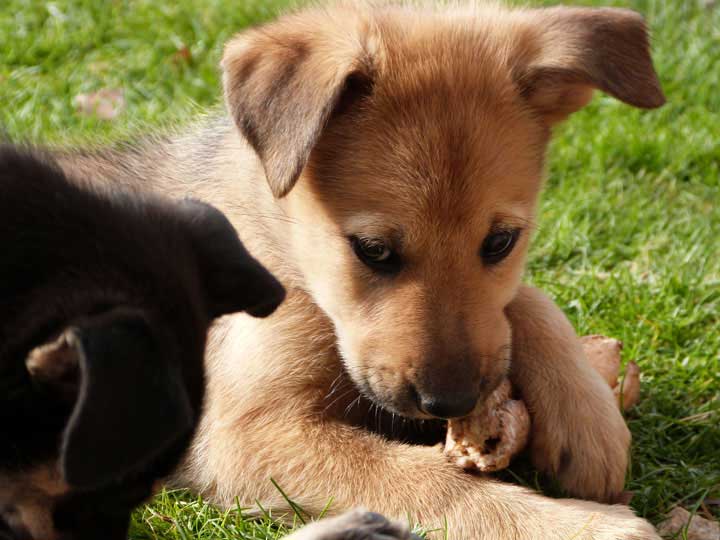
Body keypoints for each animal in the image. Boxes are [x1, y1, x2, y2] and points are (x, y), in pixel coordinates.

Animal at [59, 2, 668, 536]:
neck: (282, 243)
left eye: (500, 242)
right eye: (372, 250)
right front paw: (579, 525)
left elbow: (524, 299)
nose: (450, 403)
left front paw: (587, 415)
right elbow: (425, 481)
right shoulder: (244, 433)